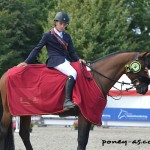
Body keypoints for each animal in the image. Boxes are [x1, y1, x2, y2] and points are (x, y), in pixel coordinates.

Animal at [0, 51, 150, 149]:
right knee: (3, 131)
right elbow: (82, 140)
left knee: (24, 134)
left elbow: (84, 140)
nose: (144, 88)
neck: (95, 78)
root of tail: (6, 74)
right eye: (143, 68)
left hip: (25, 112)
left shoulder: (88, 115)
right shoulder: (84, 114)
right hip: (8, 112)